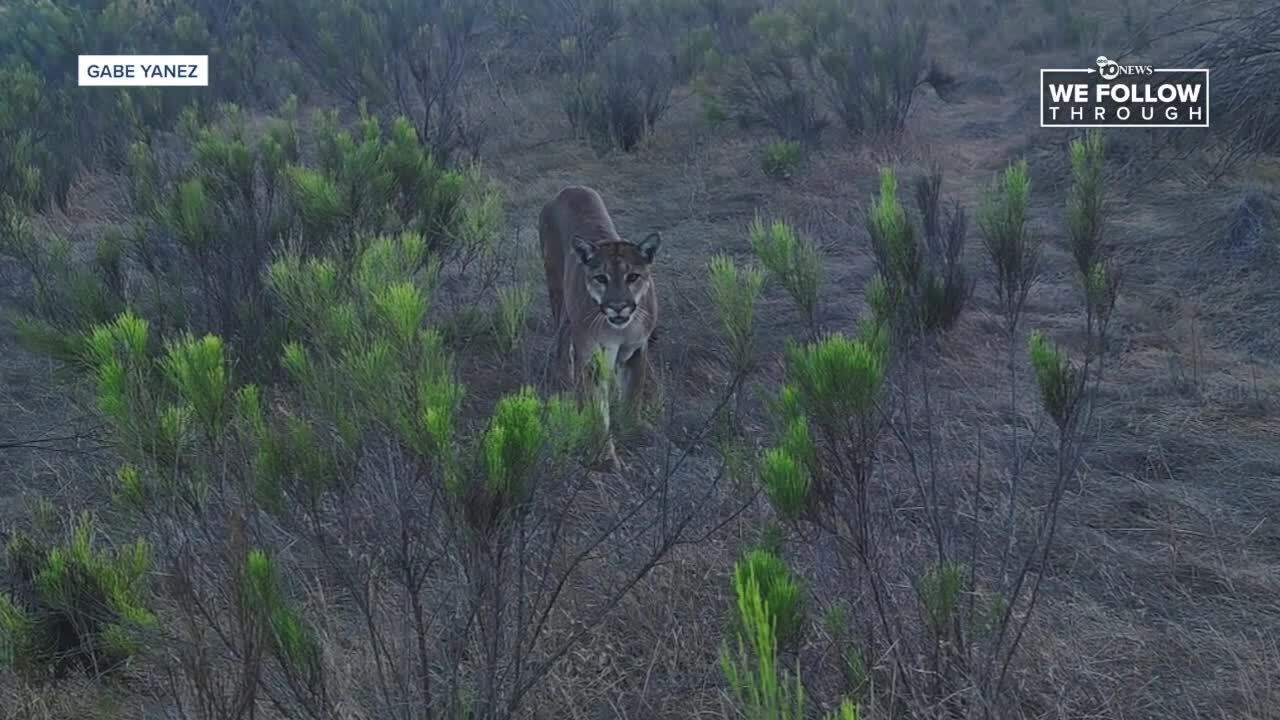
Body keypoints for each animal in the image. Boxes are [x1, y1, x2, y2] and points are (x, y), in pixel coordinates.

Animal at [539, 186, 660, 470]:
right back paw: (566, 380)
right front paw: (605, 454)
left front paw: (633, 429)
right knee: (562, 341)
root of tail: (569, 188)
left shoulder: (637, 350)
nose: (618, 307)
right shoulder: (593, 357)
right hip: (558, 294)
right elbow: (597, 407)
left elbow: (633, 394)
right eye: (601, 278)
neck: (620, 329)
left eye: (632, 277)